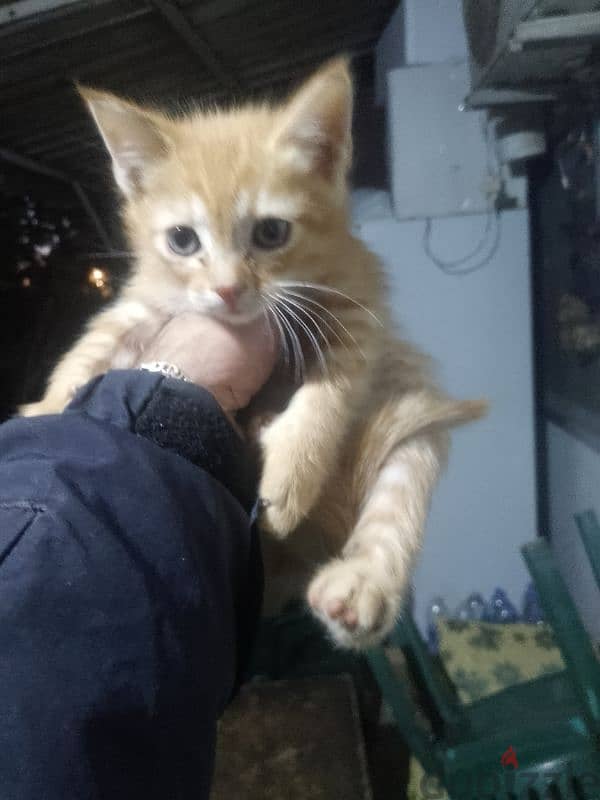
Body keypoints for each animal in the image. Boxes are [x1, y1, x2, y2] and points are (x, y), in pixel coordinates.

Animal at [21, 61, 486, 648]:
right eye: (182, 240)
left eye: (271, 232)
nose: (227, 290)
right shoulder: (147, 301)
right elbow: (95, 343)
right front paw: (44, 410)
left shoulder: (357, 303)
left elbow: (331, 392)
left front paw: (293, 474)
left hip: (413, 405)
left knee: (400, 487)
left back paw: (360, 586)